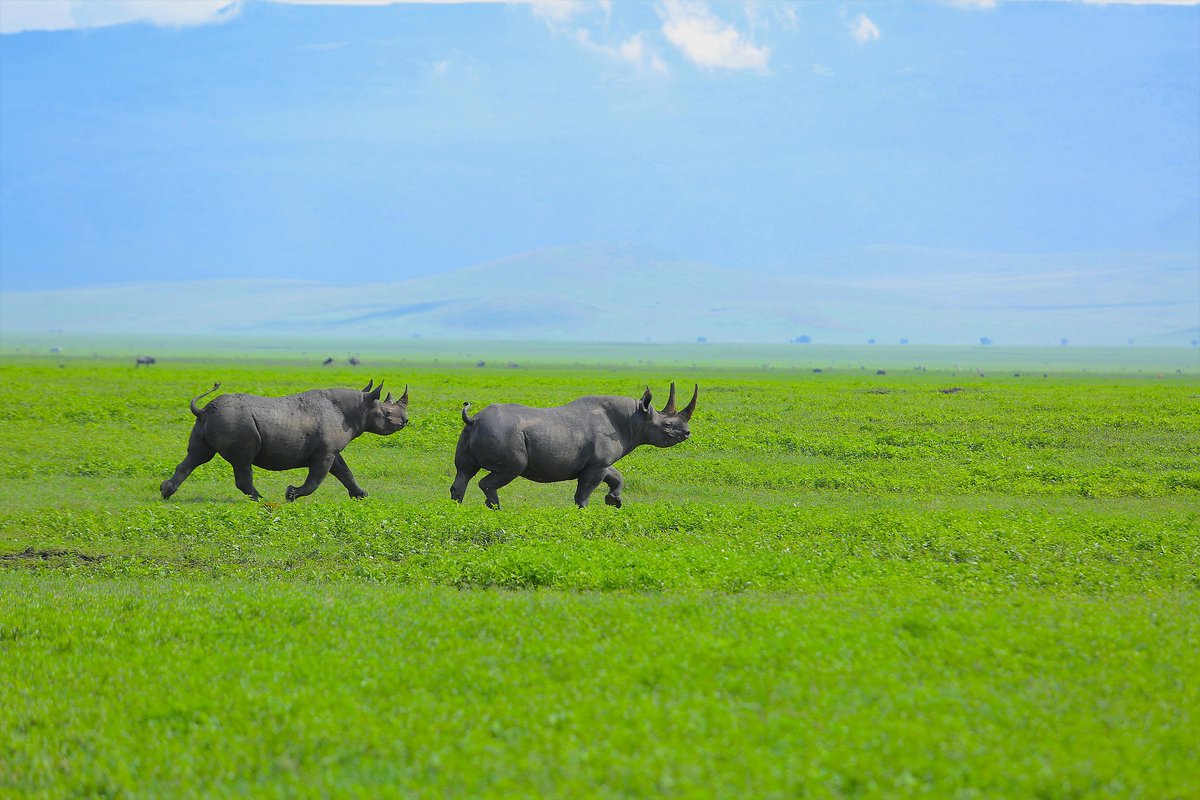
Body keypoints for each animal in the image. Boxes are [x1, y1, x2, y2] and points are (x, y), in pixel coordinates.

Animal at [160, 379, 409, 502]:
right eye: (387, 414)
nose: (405, 421)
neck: (357, 408)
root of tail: (203, 410)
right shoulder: (325, 452)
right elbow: (316, 480)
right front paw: (291, 495)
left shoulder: (331, 451)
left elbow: (345, 472)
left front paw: (362, 495)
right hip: (236, 423)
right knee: (242, 461)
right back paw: (260, 499)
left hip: (212, 423)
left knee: (197, 456)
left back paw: (166, 492)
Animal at [450, 382, 697, 509]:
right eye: (667, 426)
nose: (687, 433)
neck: (635, 418)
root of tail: (473, 419)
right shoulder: (597, 465)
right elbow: (584, 492)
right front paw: (583, 512)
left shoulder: (599, 462)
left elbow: (616, 475)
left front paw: (614, 502)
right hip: (505, 436)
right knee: (507, 471)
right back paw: (497, 509)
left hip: (471, 435)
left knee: (464, 472)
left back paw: (456, 509)